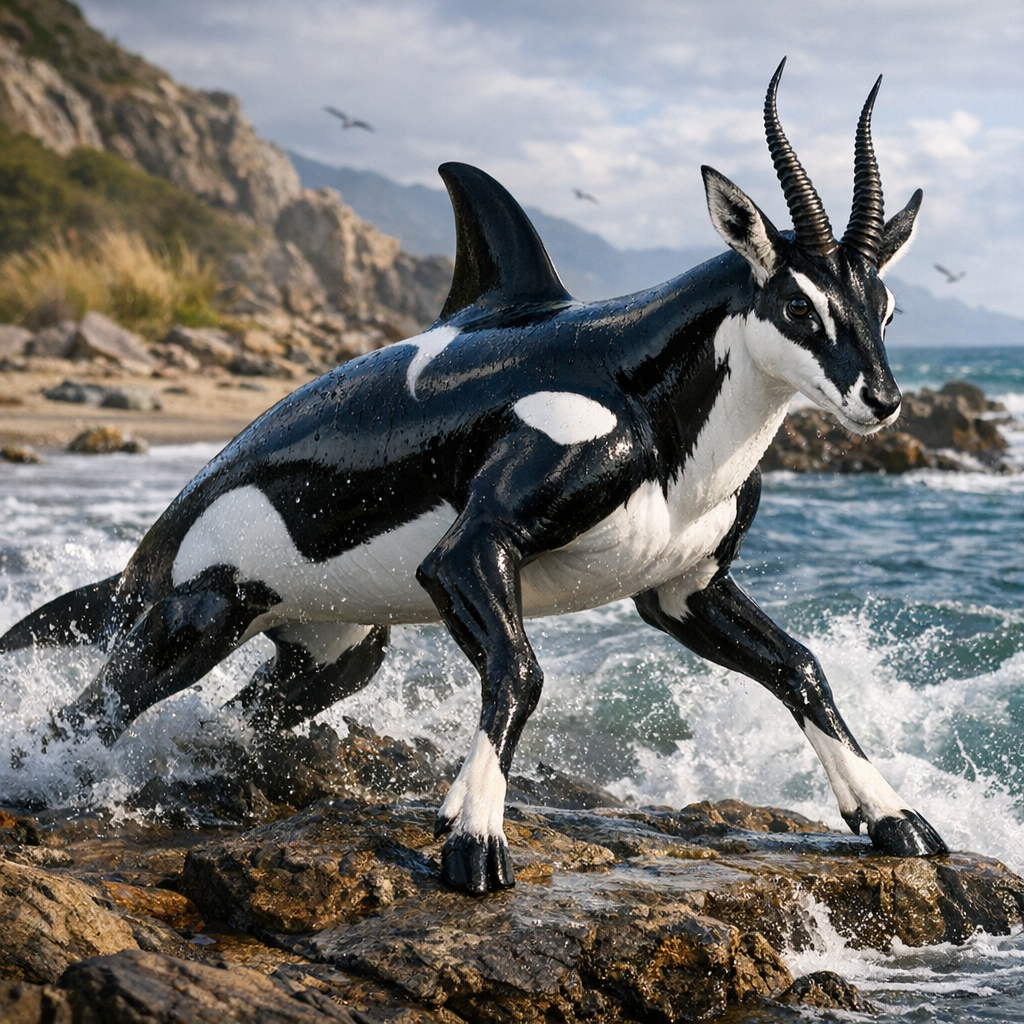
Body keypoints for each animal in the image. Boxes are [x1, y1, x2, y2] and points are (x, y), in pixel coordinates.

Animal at [1, 61, 947, 893]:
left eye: (888, 308)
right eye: (797, 307)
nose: (882, 400)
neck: (656, 394)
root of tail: (144, 561)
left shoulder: (684, 585)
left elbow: (801, 666)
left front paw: (893, 818)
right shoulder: (472, 549)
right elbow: (520, 670)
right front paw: (473, 838)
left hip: (332, 644)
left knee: (254, 705)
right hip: (197, 605)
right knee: (94, 708)